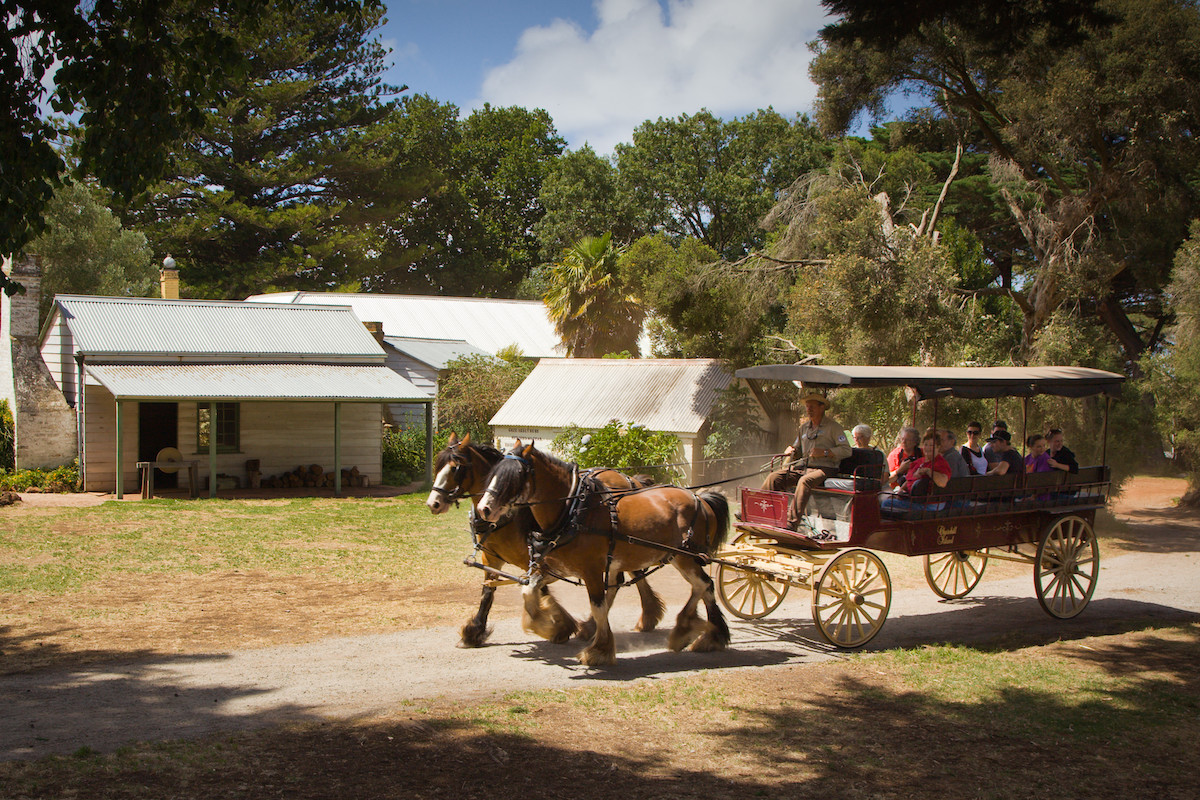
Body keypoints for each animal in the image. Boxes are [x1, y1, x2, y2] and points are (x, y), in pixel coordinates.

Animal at [422, 434, 667, 647]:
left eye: (456, 468)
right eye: (438, 466)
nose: (433, 503)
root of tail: (629, 479)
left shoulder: (534, 559)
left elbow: (540, 589)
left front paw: (560, 626)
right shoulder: (491, 558)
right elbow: (487, 594)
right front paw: (475, 631)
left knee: (627, 576)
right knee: (627, 575)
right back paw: (636, 618)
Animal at [477, 441, 729, 666]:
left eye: (515, 476)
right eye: (494, 473)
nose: (483, 509)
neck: (574, 511)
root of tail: (699, 498)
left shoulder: (591, 570)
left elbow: (597, 607)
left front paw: (599, 650)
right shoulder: (559, 567)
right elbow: (528, 590)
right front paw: (548, 626)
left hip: (686, 557)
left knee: (704, 585)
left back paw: (699, 633)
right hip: (677, 558)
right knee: (701, 586)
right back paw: (697, 632)